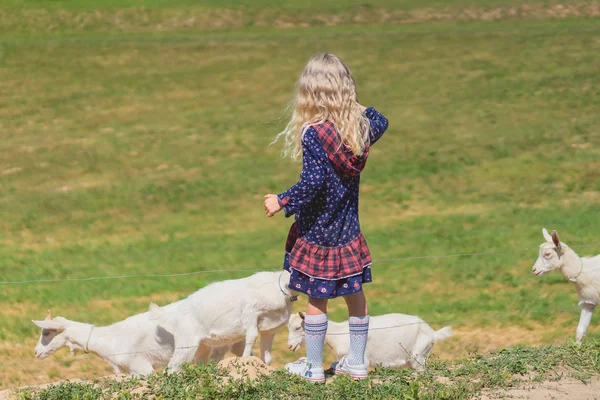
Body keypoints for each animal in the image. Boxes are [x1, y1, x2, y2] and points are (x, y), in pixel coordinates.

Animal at [151, 268, 298, 372]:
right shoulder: (251, 311)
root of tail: (176, 312)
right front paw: (246, 359)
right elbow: (252, 336)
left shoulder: (269, 330)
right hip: (186, 342)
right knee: (173, 366)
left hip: (202, 346)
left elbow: (267, 355)